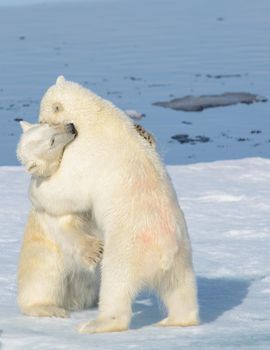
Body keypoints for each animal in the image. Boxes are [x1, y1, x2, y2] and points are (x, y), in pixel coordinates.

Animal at [26, 76, 198, 334]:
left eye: (42, 119)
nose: (39, 121)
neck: (95, 114)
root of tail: (164, 252)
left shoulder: (83, 153)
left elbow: (70, 188)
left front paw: (36, 189)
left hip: (128, 249)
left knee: (115, 283)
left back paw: (96, 323)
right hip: (182, 256)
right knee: (181, 290)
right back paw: (174, 320)